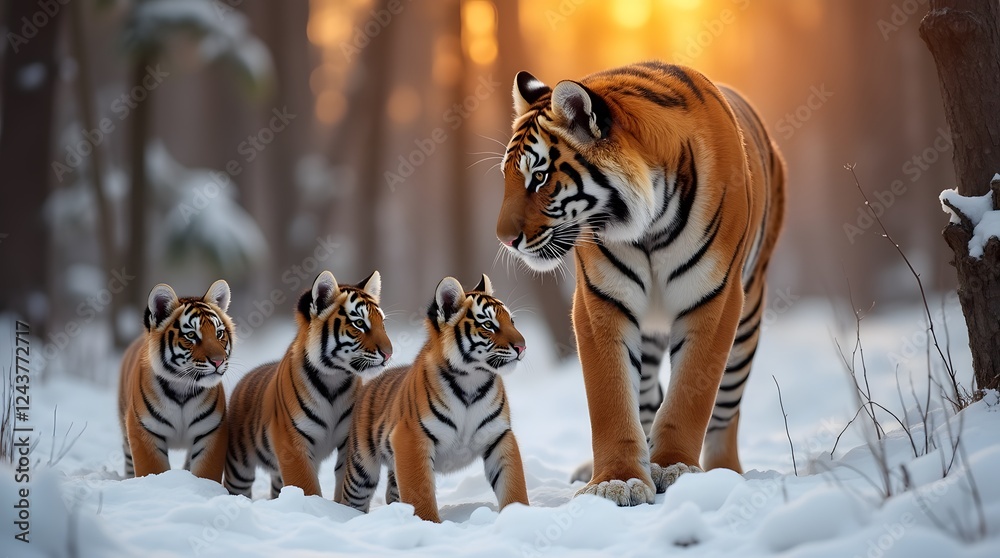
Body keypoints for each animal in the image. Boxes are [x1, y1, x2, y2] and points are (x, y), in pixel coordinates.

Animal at [117, 280, 235, 482]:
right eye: (191, 335)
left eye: (219, 333)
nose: (218, 361)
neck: (182, 387)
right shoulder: (144, 430)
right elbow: (151, 469)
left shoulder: (211, 431)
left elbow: (207, 474)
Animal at [224, 270, 391, 500]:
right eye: (358, 323)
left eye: (382, 323)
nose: (389, 353)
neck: (334, 379)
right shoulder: (293, 445)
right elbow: (307, 487)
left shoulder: (349, 442)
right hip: (239, 465)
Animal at [339, 274, 529, 523]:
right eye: (488, 325)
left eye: (512, 321)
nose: (522, 346)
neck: (471, 382)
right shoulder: (411, 437)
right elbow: (420, 494)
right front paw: (430, 524)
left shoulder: (499, 436)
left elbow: (514, 484)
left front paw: (521, 515)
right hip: (361, 467)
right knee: (352, 498)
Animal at [495, 61, 786, 506]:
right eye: (507, 177)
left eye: (539, 178)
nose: (503, 239)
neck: (648, 225)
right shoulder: (601, 301)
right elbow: (612, 399)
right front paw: (617, 481)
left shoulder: (714, 297)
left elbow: (691, 395)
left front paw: (675, 467)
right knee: (648, 396)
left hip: (748, 317)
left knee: (725, 410)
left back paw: (724, 473)